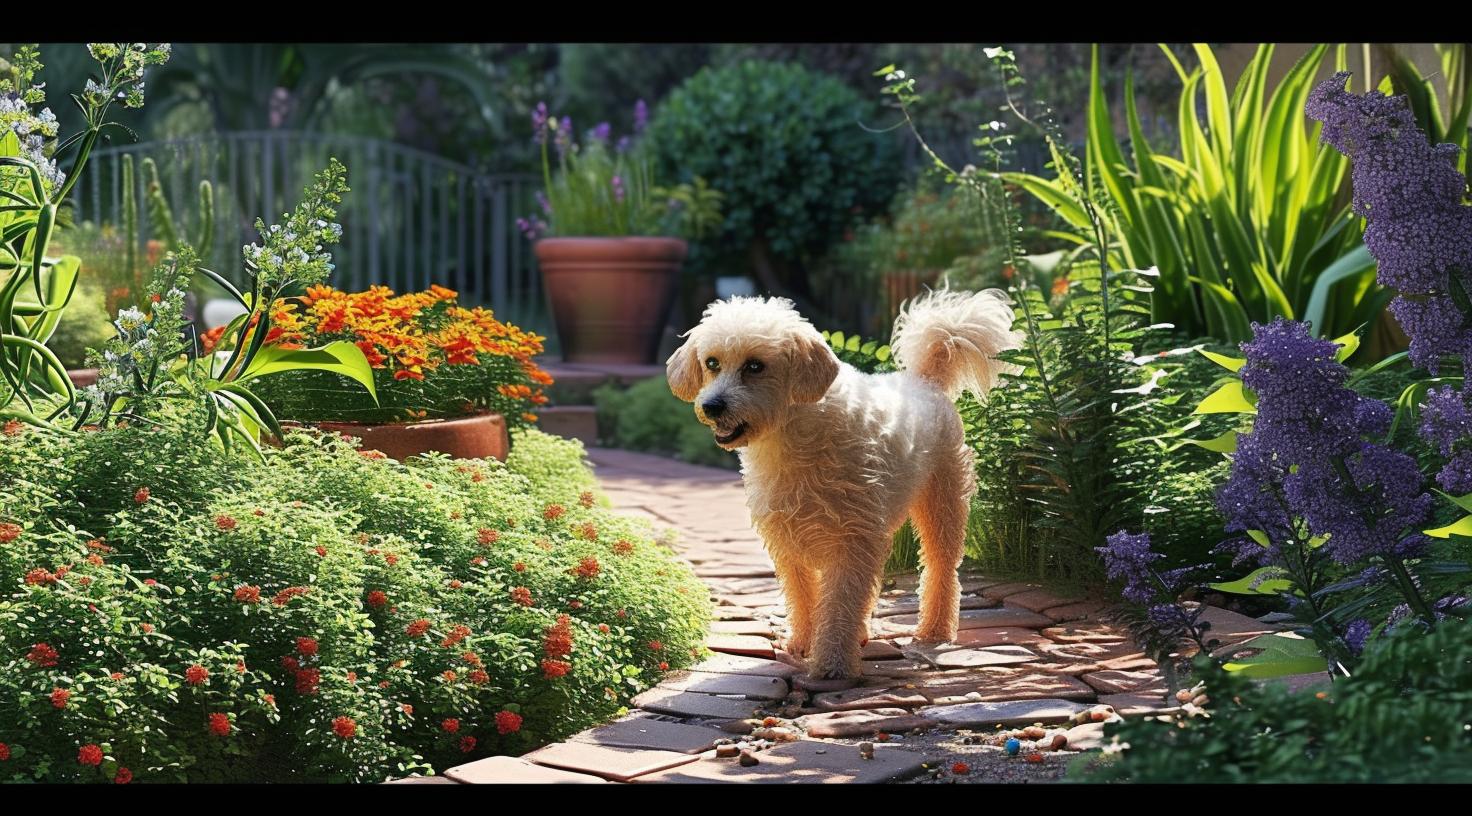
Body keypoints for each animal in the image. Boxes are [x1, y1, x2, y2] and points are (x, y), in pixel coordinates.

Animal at [671, 285, 1024, 674]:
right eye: (712, 363)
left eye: (755, 365)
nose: (712, 405)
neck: (795, 439)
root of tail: (925, 381)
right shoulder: (790, 544)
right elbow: (805, 598)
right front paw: (804, 643)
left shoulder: (851, 542)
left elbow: (840, 603)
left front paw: (834, 663)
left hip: (942, 505)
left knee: (940, 569)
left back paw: (935, 630)